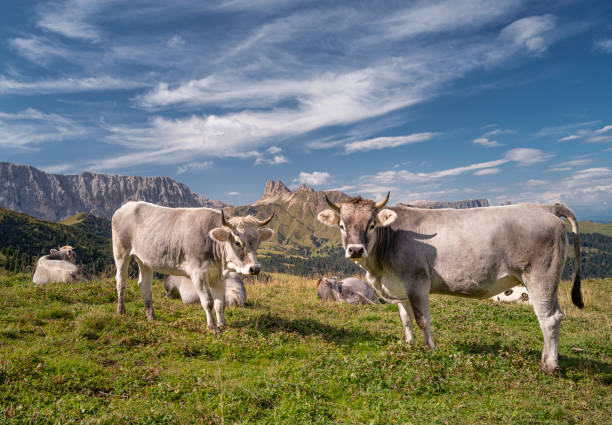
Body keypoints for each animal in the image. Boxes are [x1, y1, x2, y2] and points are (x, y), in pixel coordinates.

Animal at [111, 200, 274, 332]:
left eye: (258, 242)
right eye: (237, 242)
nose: (255, 268)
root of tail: (127, 206)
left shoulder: (219, 277)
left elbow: (220, 303)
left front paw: (222, 324)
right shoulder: (198, 273)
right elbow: (208, 301)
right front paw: (213, 327)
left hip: (144, 259)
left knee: (144, 286)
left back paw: (151, 316)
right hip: (121, 251)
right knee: (121, 281)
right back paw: (121, 310)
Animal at [320, 192, 584, 372]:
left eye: (372, 224)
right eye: (342, 225)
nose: (355, 250)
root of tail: (544, 207)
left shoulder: (417, 281)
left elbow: (422, 319)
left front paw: (430, 349)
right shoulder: (399, 285)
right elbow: (405, 318)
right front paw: (408, 345)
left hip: (541, 276)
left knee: (549, 318)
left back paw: (549, 365)